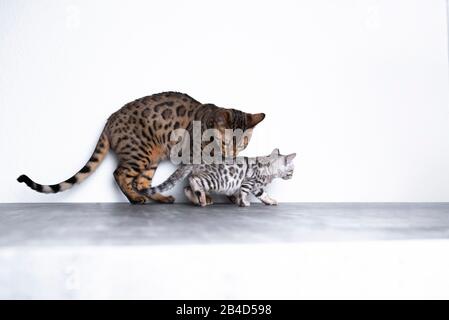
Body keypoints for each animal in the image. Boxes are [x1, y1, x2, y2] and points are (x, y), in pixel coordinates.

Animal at [17, 91, 264, 204]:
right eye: (226, 142)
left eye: (244, 143)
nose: (232, 153)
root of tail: (109, 120)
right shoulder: (190, 158)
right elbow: (196, 180)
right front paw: (202, 197)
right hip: (140, 154)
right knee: (119, 174)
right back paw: (135, 199)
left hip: (151, 159)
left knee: (141, 182)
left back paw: (160, 198)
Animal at [140, 148, 294, 206]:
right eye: (292, 170)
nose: (292, 177)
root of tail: (195, 161)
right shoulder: (249, 182)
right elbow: (244, 193)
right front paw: (244, 203)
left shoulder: (257, 187)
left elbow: (264, 195)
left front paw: (271, 201)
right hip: (215, 180)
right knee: (194, 181)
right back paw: (202, 199)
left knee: (187, 188)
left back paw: (199, 201)